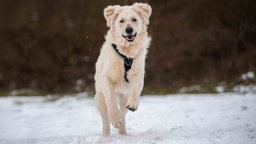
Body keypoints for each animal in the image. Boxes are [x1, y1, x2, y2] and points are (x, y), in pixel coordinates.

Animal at [94, 2, 152, 136]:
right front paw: (115, 119)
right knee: (105, 118)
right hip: (100, 97)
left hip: (124, 95)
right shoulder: (106, 76)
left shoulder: (137, 74)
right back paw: (106, 135)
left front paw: (133, 104)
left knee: (123, 113)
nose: (129, 30)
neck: (126, 53)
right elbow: (111, 98)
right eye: (121, 21)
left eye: (134, 19)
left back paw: (123, 133)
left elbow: (136, 89)